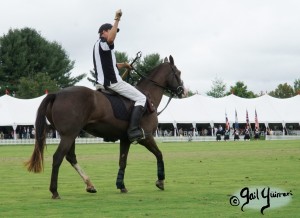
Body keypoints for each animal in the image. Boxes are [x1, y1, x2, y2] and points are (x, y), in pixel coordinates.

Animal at [25, 55, 185, 198]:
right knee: (58, 157)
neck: (148, 98)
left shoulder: (125, 139)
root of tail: (56, 94)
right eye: (178, 73)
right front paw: (160, 181)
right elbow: (159, 154)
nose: (183, 91)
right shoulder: (146, 137)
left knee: (70, 157)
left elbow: (122, 161)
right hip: (69, 135)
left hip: (71, 135)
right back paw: (55, 191)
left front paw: (121, 185)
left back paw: (90, 185)